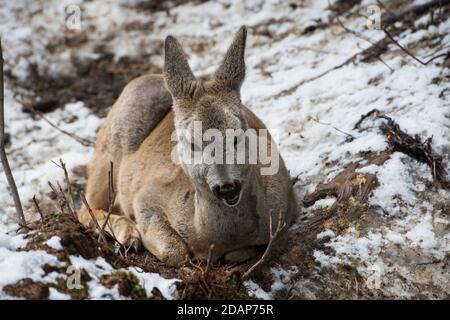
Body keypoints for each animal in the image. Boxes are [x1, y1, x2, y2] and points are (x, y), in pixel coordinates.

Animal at [79, 26, 298, 266]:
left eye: (236, 137)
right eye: (191, 143)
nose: (227, 187)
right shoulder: (146, 195)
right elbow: (175, 252)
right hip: (110, 150)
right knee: (85, 206)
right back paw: (128, 235)